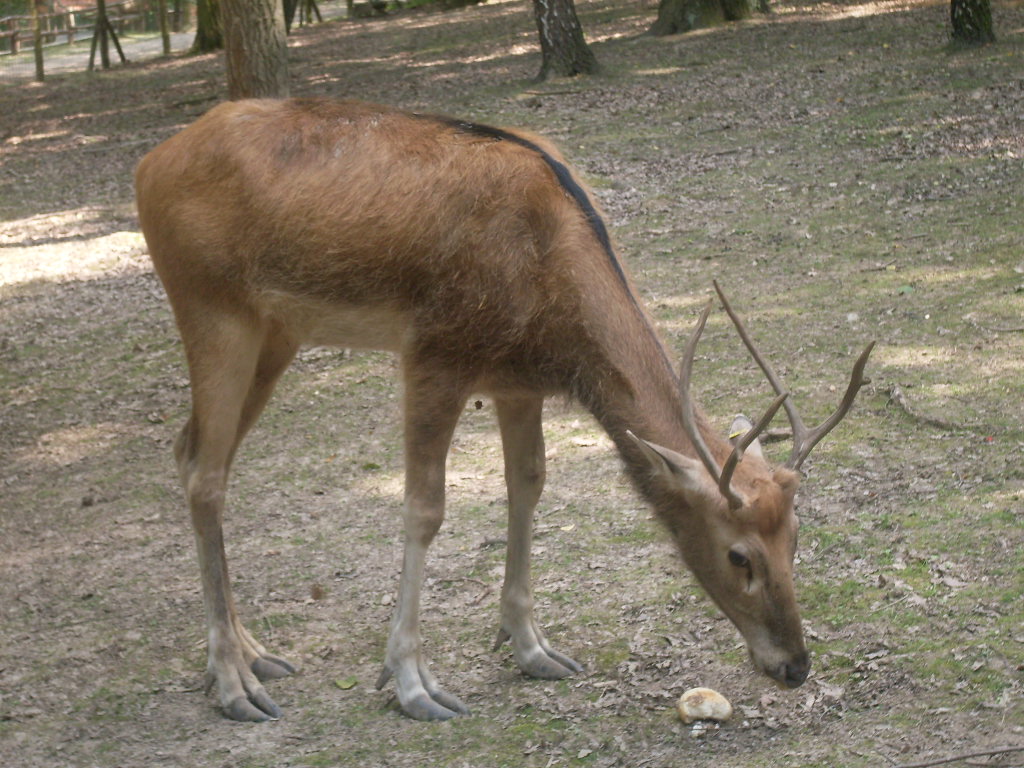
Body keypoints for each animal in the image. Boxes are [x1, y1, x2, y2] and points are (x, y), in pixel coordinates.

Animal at [135, 98, 873, 723]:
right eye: (739, 555)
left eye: (796, 538)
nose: (795, 666)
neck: (554, 301)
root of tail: (148, 167)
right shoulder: (436, 352)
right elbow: (424, 509)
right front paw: (412, 683)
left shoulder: (519, 381)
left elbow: (528, 486)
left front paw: (531, 647)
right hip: (212, 308)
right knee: (207, 475)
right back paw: (233, 682)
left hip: (276, 332)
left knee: (187, 450)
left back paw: (253, 652)